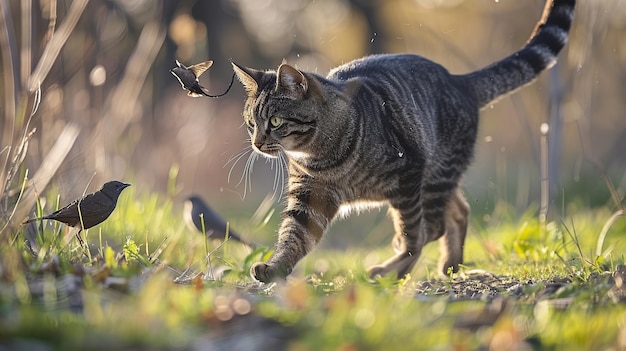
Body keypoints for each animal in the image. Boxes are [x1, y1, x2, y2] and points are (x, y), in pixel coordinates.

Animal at [232, 0, 572, 284]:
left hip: (431, 178)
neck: (321, 156)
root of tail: (459, 80)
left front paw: (394, 262)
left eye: (275, 122)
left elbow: (413, 235)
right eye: (251, 123)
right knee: (457, 211)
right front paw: (275, 268)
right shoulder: (309, 197)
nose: (257, 143)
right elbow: (294, 237)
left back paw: (394, 270)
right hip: (436, 179)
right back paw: (449, 264)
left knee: (430, 227)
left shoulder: (407, 176)